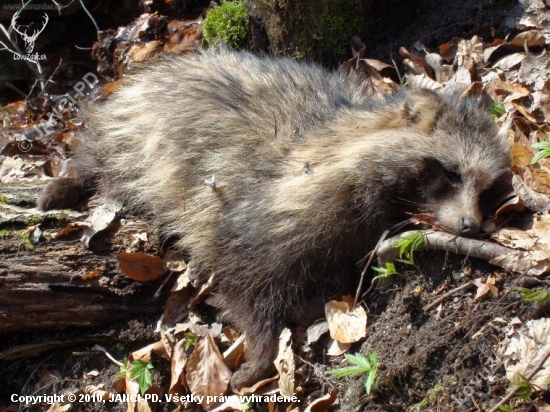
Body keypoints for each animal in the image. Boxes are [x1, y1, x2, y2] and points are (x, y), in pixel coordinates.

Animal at [37, 49, 512, 390]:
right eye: (452, 173)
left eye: (487, 190)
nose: (472, 226)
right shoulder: (260, 203)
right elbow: (240, 269)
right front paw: (261, 348)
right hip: (135, 129)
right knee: (100, 153)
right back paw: (69, 178)